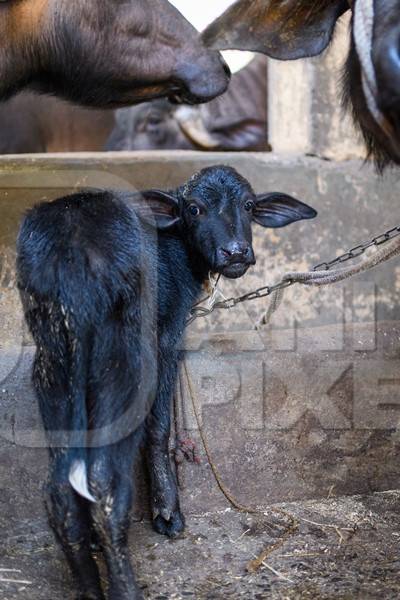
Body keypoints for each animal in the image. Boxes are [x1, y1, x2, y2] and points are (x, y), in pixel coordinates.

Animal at [15, 165, 318, 600]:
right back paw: (125, 587)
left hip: (53, 362)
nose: (235, 252)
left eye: (247, 205)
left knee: (59, 490)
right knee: (103, 479)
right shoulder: (168, 336)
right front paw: (168, 512)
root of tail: (70, 249)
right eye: (194, 208)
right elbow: (158, 427)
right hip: (124, 363)